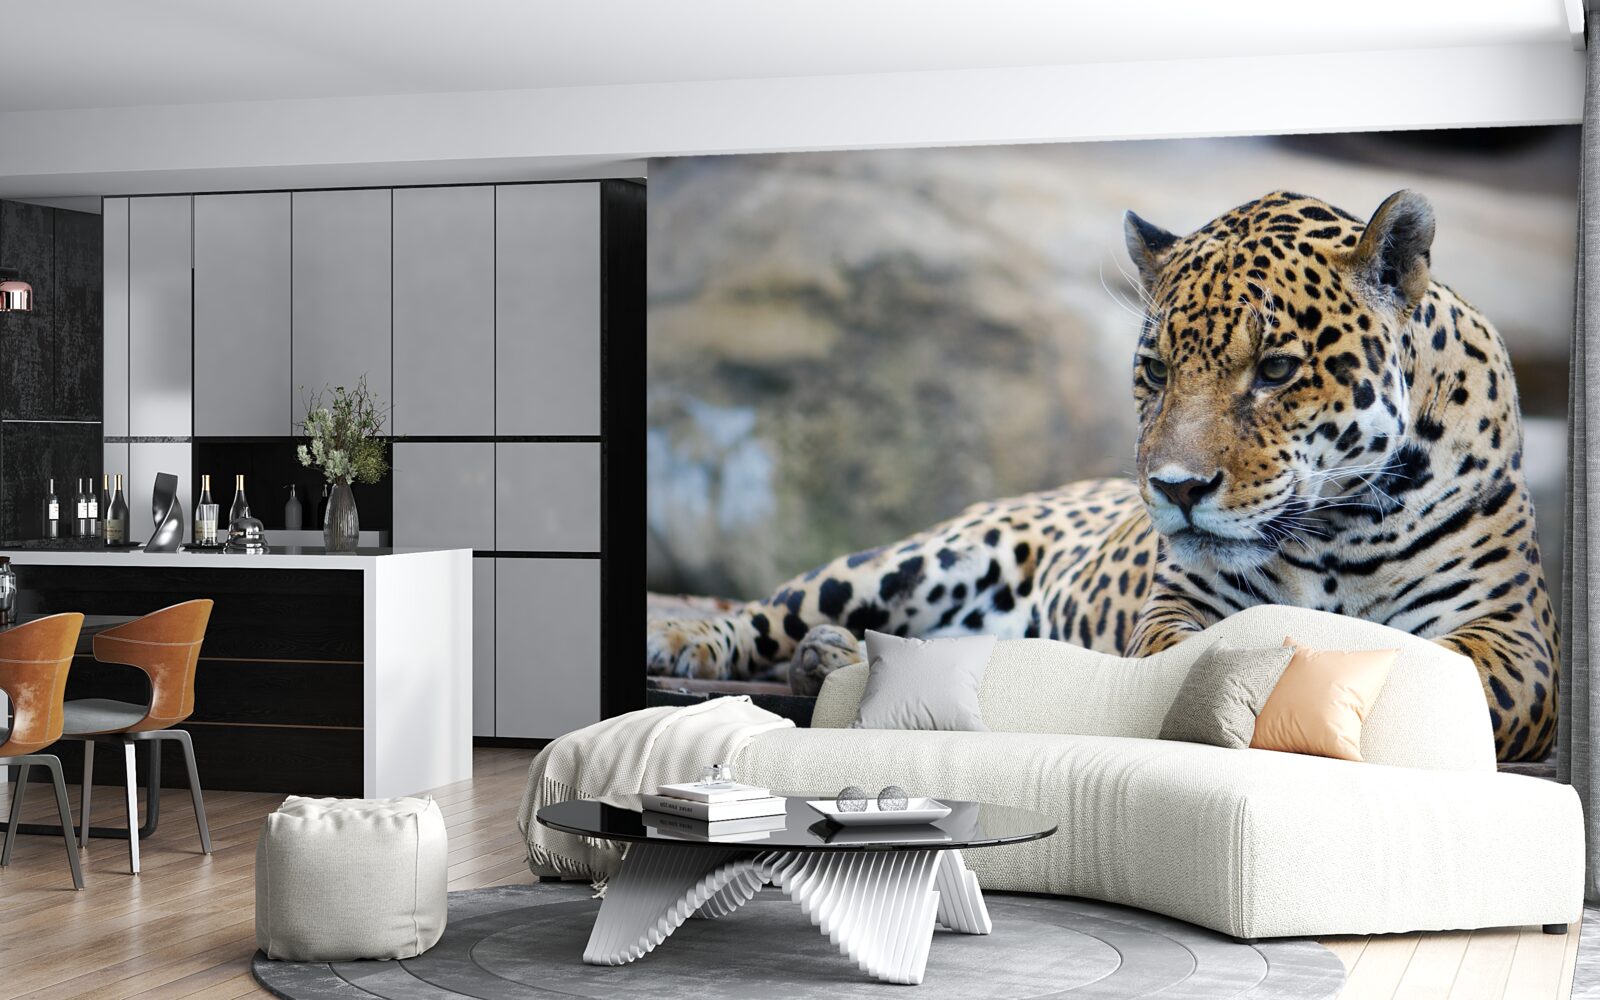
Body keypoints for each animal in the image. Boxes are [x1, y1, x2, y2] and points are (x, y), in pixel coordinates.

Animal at [646, 190, 1559, 763]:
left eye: (1275, 370)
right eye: (1155, 371)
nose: (1177, 489)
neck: (1335, 529)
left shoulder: (1515, 640)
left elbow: (1439, 686)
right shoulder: (1179, 606)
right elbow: (1174, 667)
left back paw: (834, 660)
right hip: (934, 555)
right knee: (785, 607)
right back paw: (702, 640)